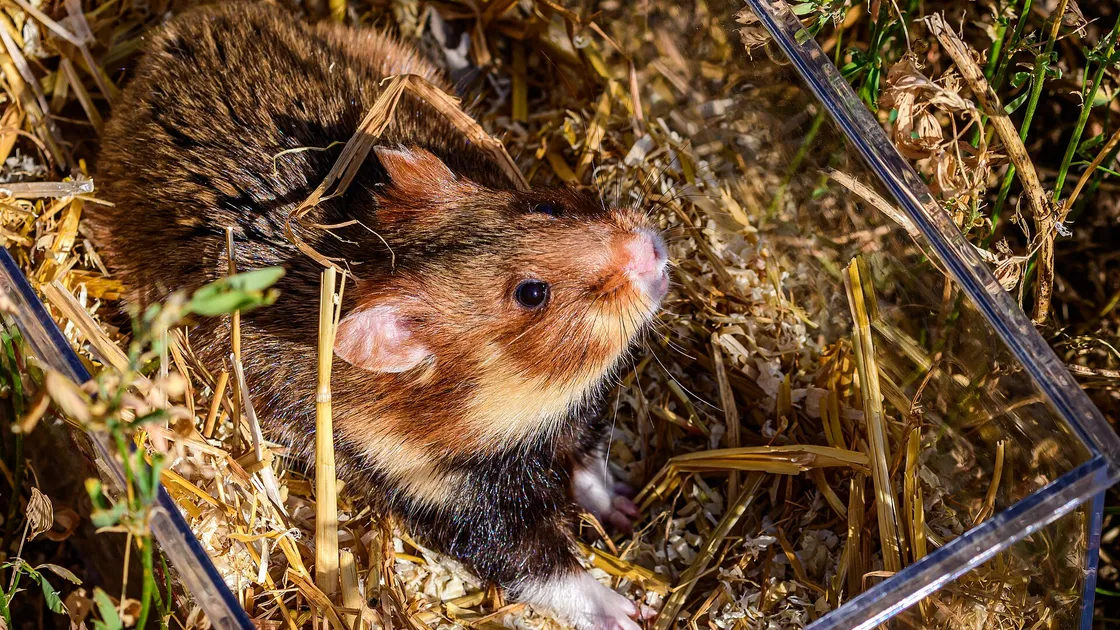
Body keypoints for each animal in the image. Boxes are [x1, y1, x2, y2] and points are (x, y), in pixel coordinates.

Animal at [87, 3, 668, 629]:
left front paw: (627, 510)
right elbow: (545, 569)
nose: (654, 250)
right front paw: (633, 610)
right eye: (532, 294)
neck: (518, 404)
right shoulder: (451, 502)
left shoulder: (572, 421)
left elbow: (588, 465)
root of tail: (163, 40)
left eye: (548, 205)